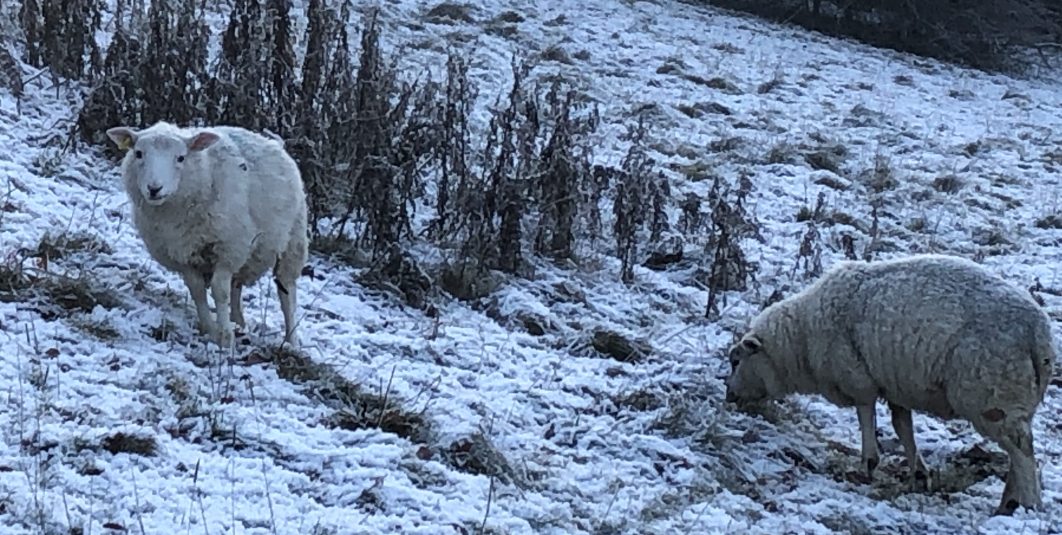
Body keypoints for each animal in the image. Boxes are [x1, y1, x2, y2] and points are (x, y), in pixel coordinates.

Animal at [105, 119, 307, 346]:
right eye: (139, 153)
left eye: (181, 157)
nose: (154, 189)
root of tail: (274, 142)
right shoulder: (182, 253)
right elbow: (197, 291)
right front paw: (211, 329)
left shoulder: (228, 248)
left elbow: (220, 291)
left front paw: (225, 338)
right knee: (236, 287)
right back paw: (238, 323)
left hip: (292, 243)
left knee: (286, 293)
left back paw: (291, 341)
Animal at [726, 252, 1057, 515]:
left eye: (735, 361)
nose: (729, 397)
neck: (801, 340)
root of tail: (1038, 336)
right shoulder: (896, 386)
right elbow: (902, 426)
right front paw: (919, 473)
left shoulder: (859, 380)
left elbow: (866, 417)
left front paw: (868, 464)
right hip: (1014, 400)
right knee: (1019, 448)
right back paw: (1010, 502)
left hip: (992, 397)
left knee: (1021, 450)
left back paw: (1027, 504)